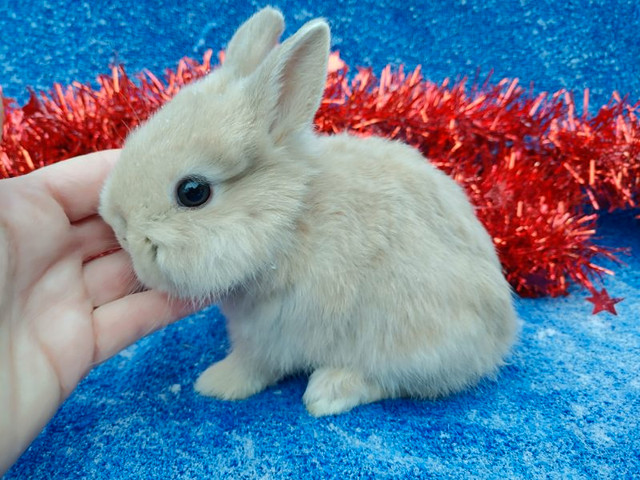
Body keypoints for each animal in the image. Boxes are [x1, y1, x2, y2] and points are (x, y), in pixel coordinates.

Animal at [100, 6, 520, 416]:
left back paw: (328, 391)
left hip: (411, 343)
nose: (123, 232)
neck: (291, 219)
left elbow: (251, 366)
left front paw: (215, 384)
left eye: (193, 192)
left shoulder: (269, 335)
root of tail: (502, 335)